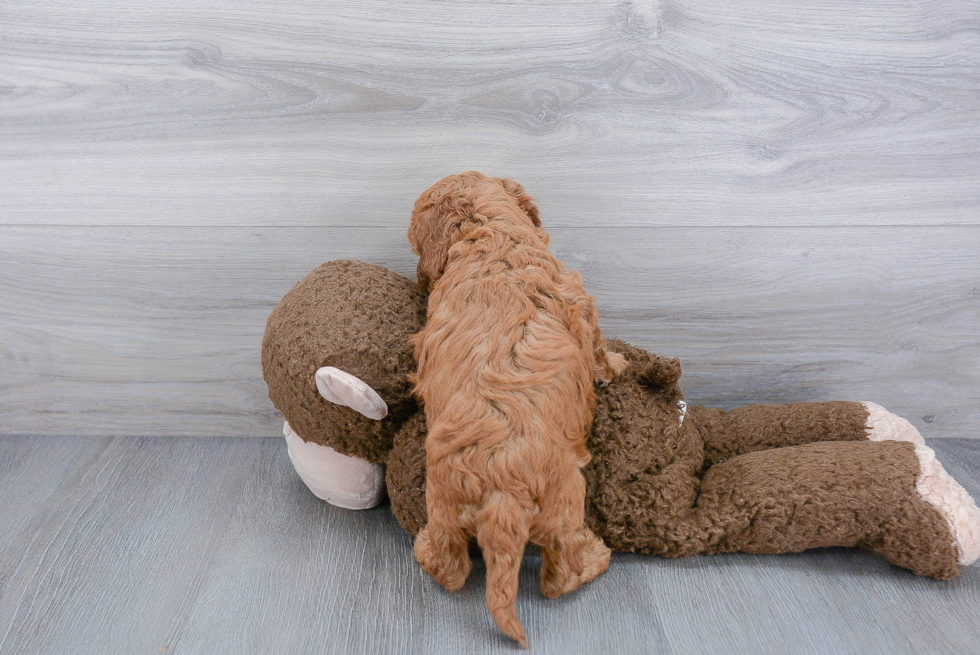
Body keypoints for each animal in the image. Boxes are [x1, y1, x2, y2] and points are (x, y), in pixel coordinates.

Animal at [408, 172, 628, 648]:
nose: (419, 279)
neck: (491, 234)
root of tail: (501, 493)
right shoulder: (581, 303)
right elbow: (599, 349)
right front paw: (618, 365)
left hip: (443, 503)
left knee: (450, 568)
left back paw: (425, 548)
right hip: (564, 504)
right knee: (559, 574)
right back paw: (594, 558)